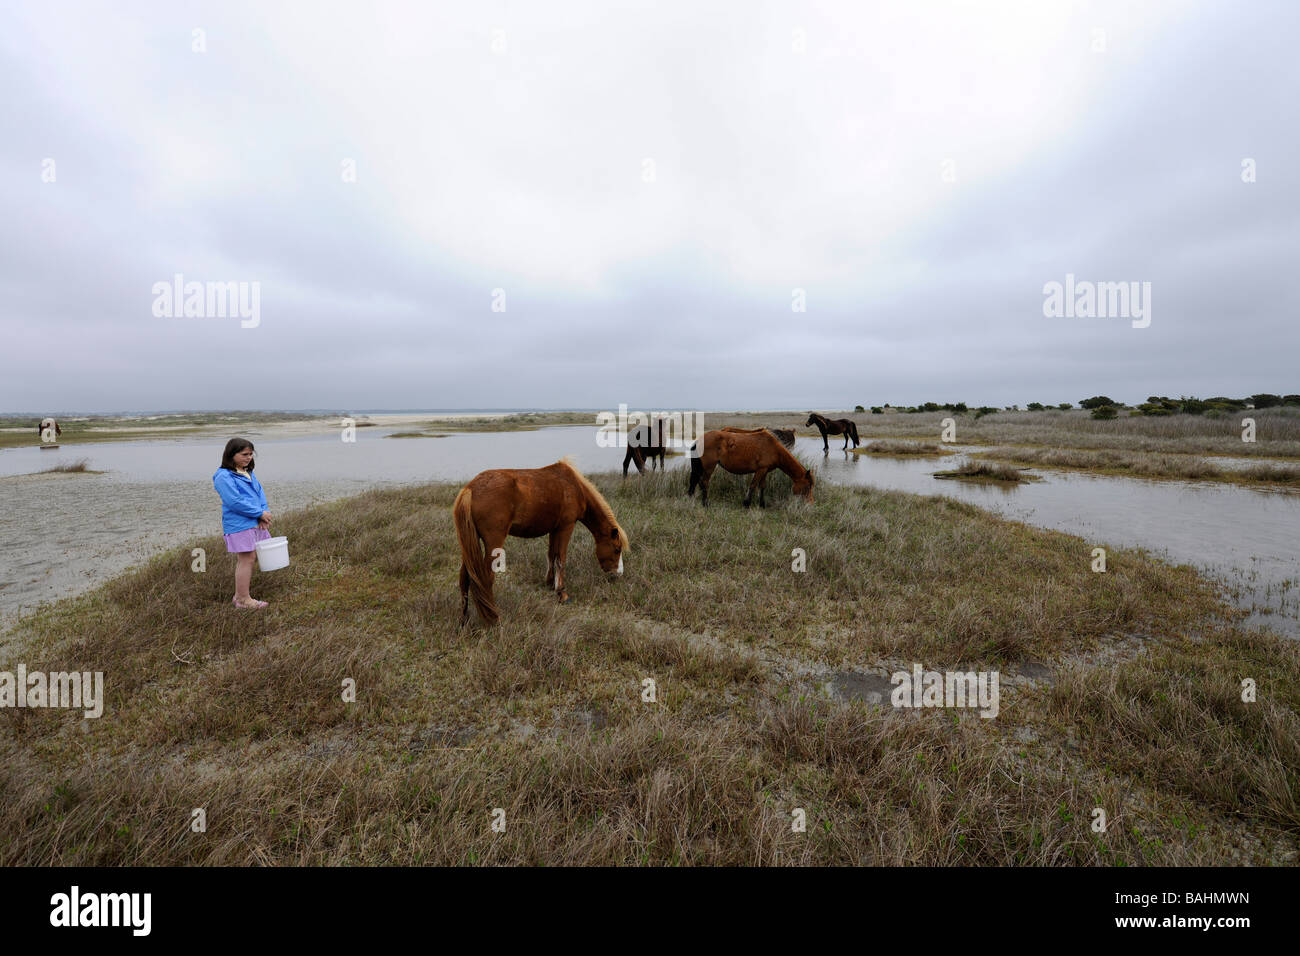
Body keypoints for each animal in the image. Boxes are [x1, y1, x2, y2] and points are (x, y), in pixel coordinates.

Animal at [454, 457, 626, 624]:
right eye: (617, 549)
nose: (618, 574)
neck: (574, 486)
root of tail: (470, 489)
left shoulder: (554, 530)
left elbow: (552, 556)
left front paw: (550, 583)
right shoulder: (566, 527)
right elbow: (560, 559)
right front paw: (562, 594)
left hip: (470, 544)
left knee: (465, 577)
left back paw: (464, 619)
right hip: (493, 543)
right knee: (486, 578)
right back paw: (494, 618)